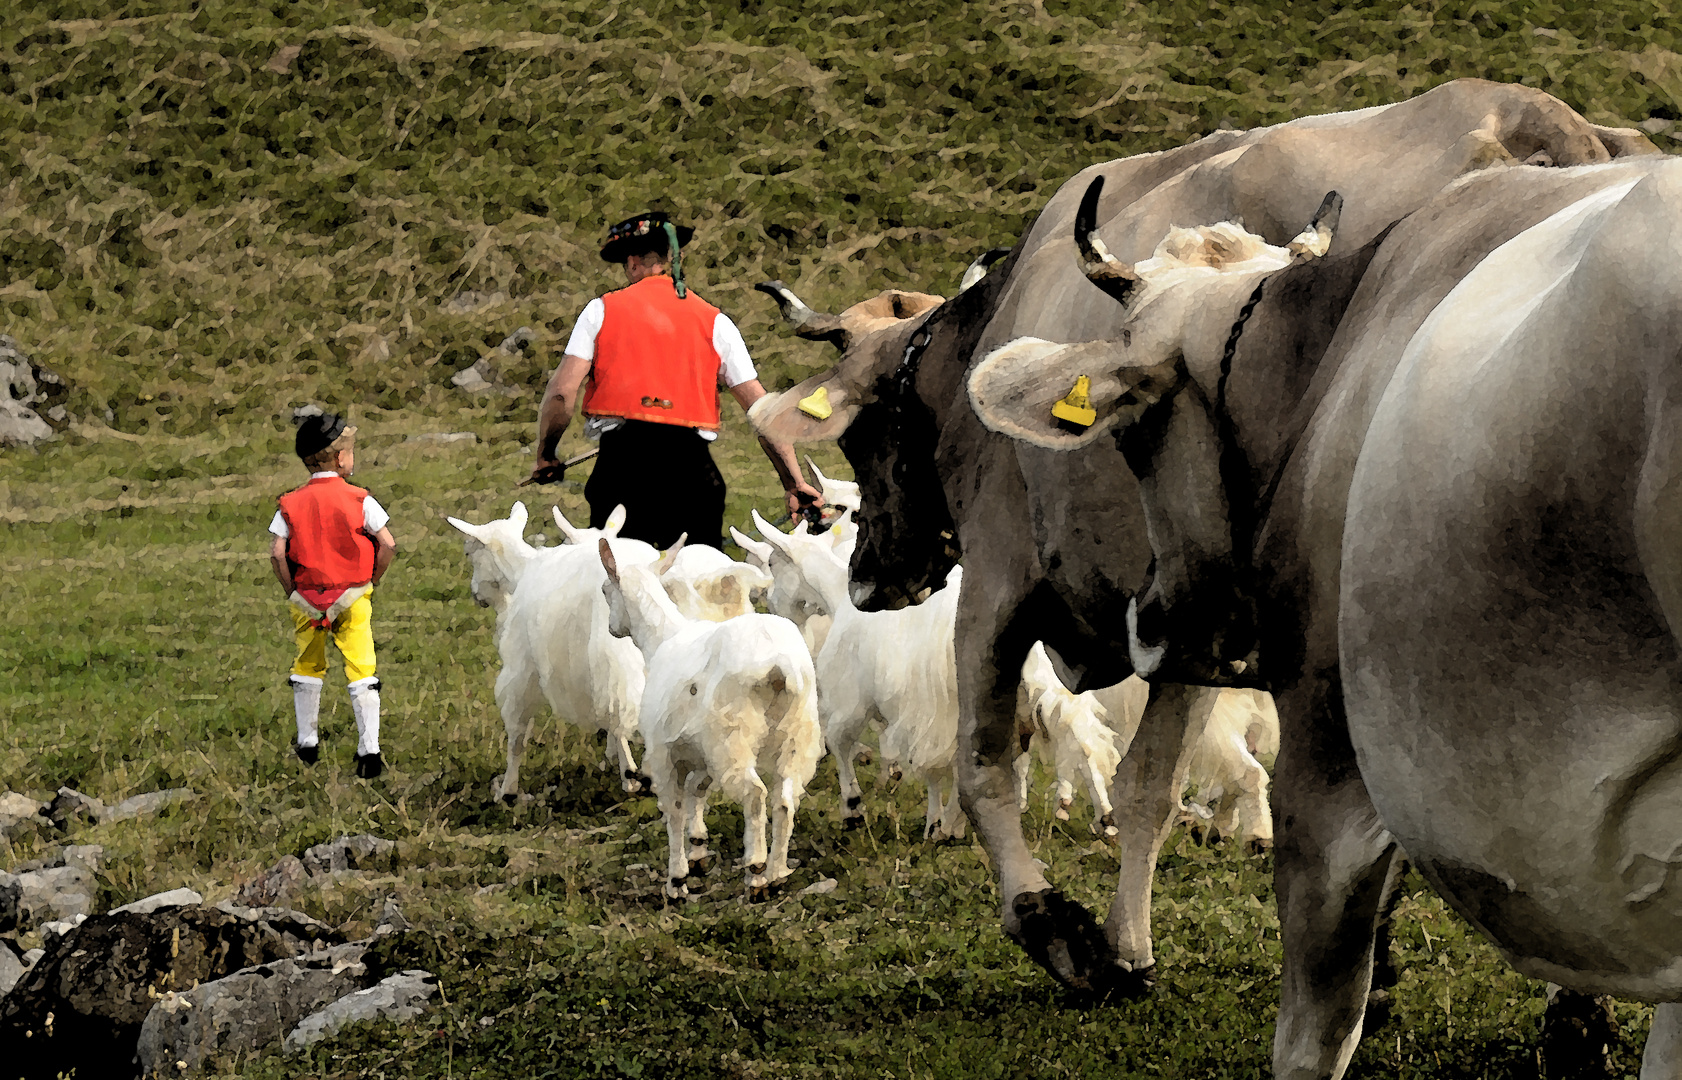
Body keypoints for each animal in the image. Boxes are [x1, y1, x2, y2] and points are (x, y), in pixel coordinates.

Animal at [447, 501, 655, 794]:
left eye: (469, 552)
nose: (475, 594)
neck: (522, 571)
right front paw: (609, 757)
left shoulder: (522, 664)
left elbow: (517, 731)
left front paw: (507, 788)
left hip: (614, 658)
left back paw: (632, 778)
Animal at [602, 534, 824, 894]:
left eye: (606, 589)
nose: (611, 629)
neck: (662, 638)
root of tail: (779, 667)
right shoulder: (699, 750)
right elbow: (698, 791)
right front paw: (697, 848)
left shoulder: (664, 752)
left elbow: (675, 809)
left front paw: (677, 878)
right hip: (798, 732)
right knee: (785, 799)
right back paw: (777, 871)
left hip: (732, 734)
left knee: (755, 794)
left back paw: (757, 867)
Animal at [756, 511, 968, 841]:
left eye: (773, 562)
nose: (768, 602)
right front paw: (942, 823)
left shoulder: (854, 697)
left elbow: (839, 741)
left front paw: (853, 807)